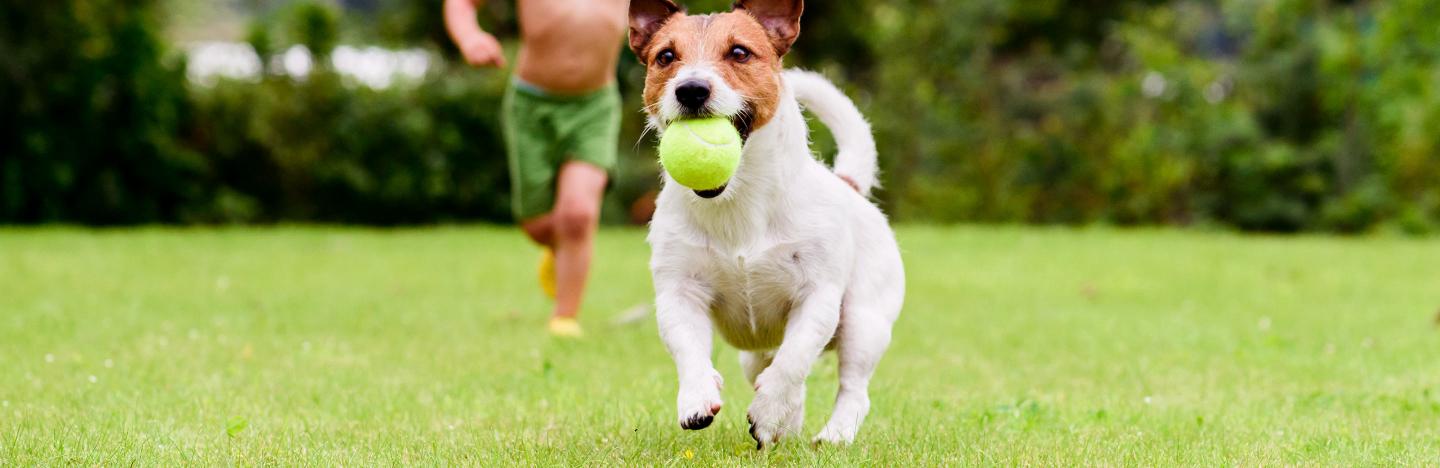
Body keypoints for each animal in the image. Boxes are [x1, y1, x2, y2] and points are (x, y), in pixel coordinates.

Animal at [627, 0, 898, 443]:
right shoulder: (678, 292)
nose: (691, 89)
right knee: (773, 368)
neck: (736, 201)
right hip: (753, 353)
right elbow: (688, 349)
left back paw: (833, 435)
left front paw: (769, 410)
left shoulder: (818, 297)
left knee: (851, 387)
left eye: (739, 52)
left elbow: (793, 361)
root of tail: (849, 184)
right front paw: (697, 398)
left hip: (864, 321)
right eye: (665, 57)